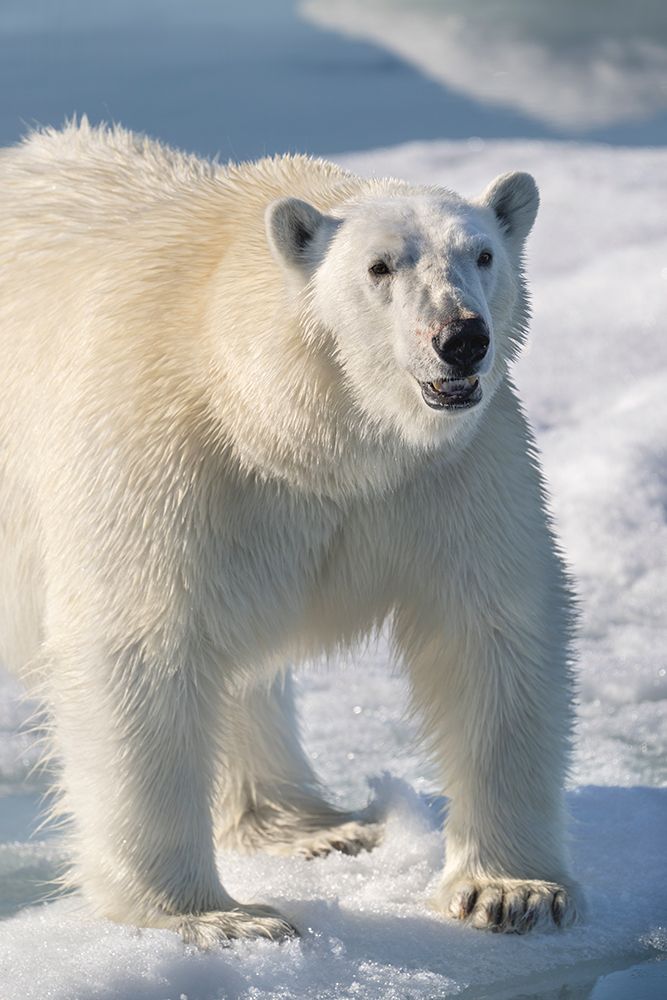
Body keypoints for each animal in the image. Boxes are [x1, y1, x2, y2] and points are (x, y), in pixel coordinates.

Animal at [0, 121, 581, 946]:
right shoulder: (166, 454)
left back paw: (307, 825)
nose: (461, 338)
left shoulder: (446, 471)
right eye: (379, 265)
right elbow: (142, 646)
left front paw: (510, 890)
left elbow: (490, 628)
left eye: (481, 253)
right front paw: (214, 917)